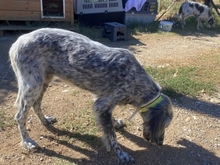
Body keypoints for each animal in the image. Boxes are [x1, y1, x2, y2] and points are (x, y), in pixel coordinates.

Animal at [9, 28, 173, 164]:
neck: (137, 79)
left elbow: (110, 123)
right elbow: (112, 136)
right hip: (33, 85)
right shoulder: (102, 104)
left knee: (37, 105)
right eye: (165, 126)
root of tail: (18, 42)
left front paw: (115, 123)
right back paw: (27, 141)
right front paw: (121, 154)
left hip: (44, 80)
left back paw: (45, 121)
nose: (160, 143)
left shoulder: (103, 102)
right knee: (20, 116)